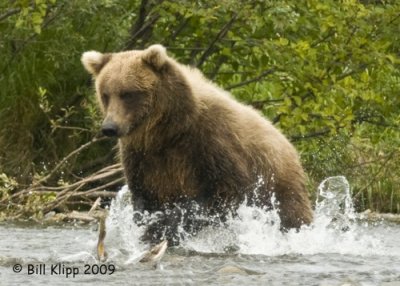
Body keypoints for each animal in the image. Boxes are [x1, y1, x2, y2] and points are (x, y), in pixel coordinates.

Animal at [81, 44, 312, 246]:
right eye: (105, 94)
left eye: (128, 93)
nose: (110, 127)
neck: (166, 131)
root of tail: (289, 144)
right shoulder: (141, 156)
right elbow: (143, 196)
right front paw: (150, 225)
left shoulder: (211, 143)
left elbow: (224, 193)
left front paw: (164, 226)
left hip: (279, 184)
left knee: (290, 215)